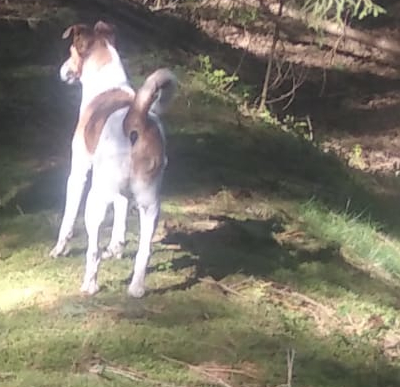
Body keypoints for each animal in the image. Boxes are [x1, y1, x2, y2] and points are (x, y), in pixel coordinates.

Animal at [49, 21, 176, 298]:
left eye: (71, 51)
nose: (62, 71)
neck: (108, 85)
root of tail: (136, 118)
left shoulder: (79, 173)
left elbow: (68, 218)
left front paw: (59, 249)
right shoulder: (123, 192)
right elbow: (121, 212)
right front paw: (116, 248)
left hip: (95, 198)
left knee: (93, 250)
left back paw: (90, 284)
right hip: (151, 203)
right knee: (144, 251)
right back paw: (136, 288)